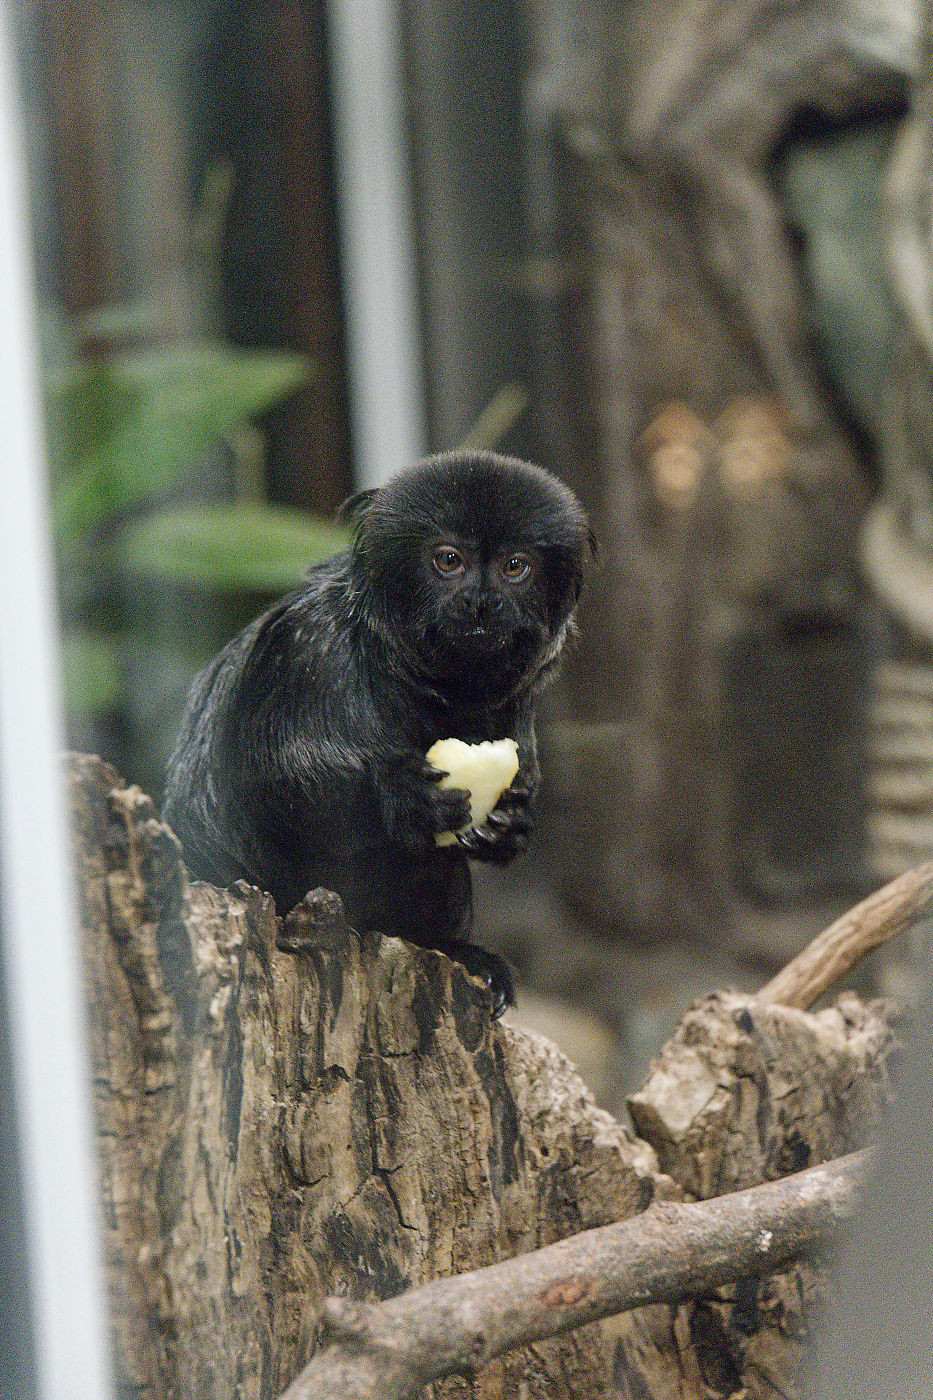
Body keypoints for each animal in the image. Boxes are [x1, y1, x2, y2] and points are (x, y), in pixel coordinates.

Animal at [162, 450, 592, 1015]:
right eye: (448, 560)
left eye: (514, 567)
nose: (481, 602)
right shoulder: (310, 647)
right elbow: (266, 783)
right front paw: (404, 796)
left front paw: (507, 823)